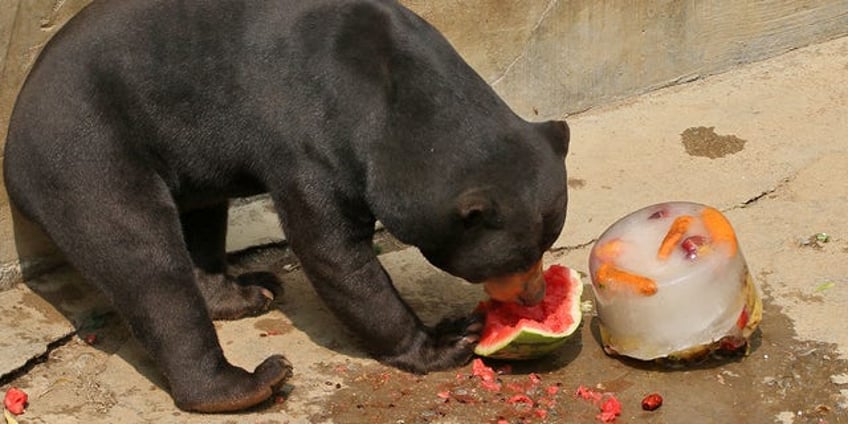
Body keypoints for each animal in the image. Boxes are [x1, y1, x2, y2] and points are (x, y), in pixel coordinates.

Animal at [3, 0, 568, 412]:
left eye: (548, 243)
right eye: (517, 259)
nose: (537, 297)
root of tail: (14, 136)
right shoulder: (312, 136)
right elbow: (331, 250)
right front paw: (447, 339)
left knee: (200, 222)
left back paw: (247, 292)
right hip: (85, 154)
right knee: (145, 264)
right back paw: (248, 383)